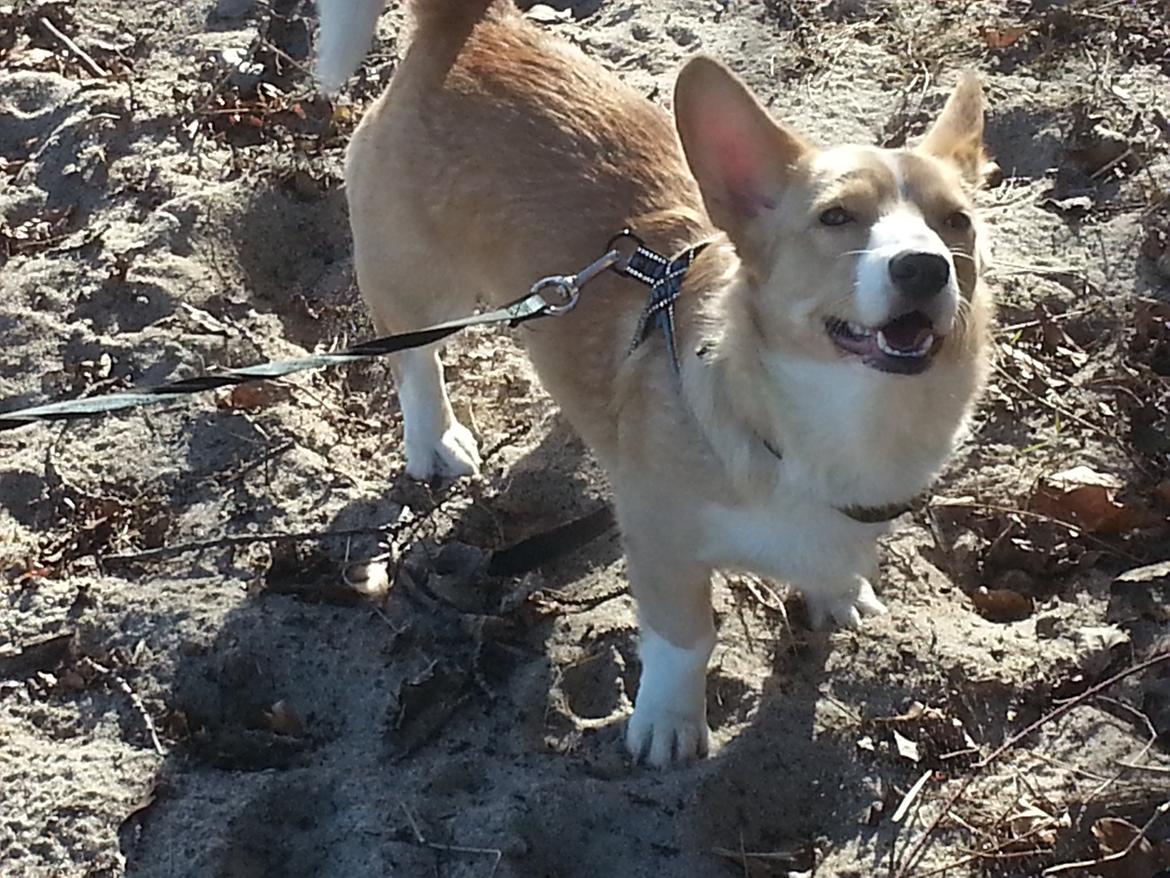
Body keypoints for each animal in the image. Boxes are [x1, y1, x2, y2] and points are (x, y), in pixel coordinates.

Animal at [322, 0, 996, 767]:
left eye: (956, 223)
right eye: (836, 217)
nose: (924, 266)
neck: (843, 418)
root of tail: (473, 25)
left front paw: (838, 591)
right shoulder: (661, 541)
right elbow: (685, 639)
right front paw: (669, 725)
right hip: (419, 285)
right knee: (412, 358)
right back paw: (434, 439)